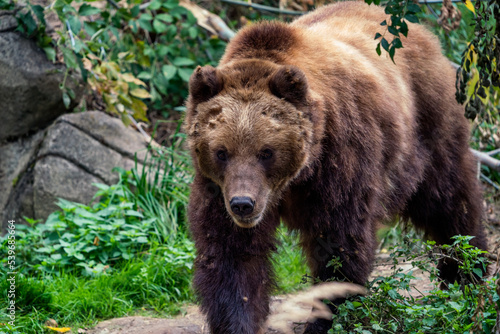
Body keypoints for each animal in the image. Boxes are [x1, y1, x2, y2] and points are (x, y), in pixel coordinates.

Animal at [184, 1, 488, 332]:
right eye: (221, 152)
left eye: (266, 151)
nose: (243, 204)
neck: (295, 179)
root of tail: (424, 34)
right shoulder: (218, 187)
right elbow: (232, 255)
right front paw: (239, 320)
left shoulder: (340, 159)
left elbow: (339, 244)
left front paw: (326, 317)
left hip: (428, 125)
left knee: (448, 199)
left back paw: (467, 271)